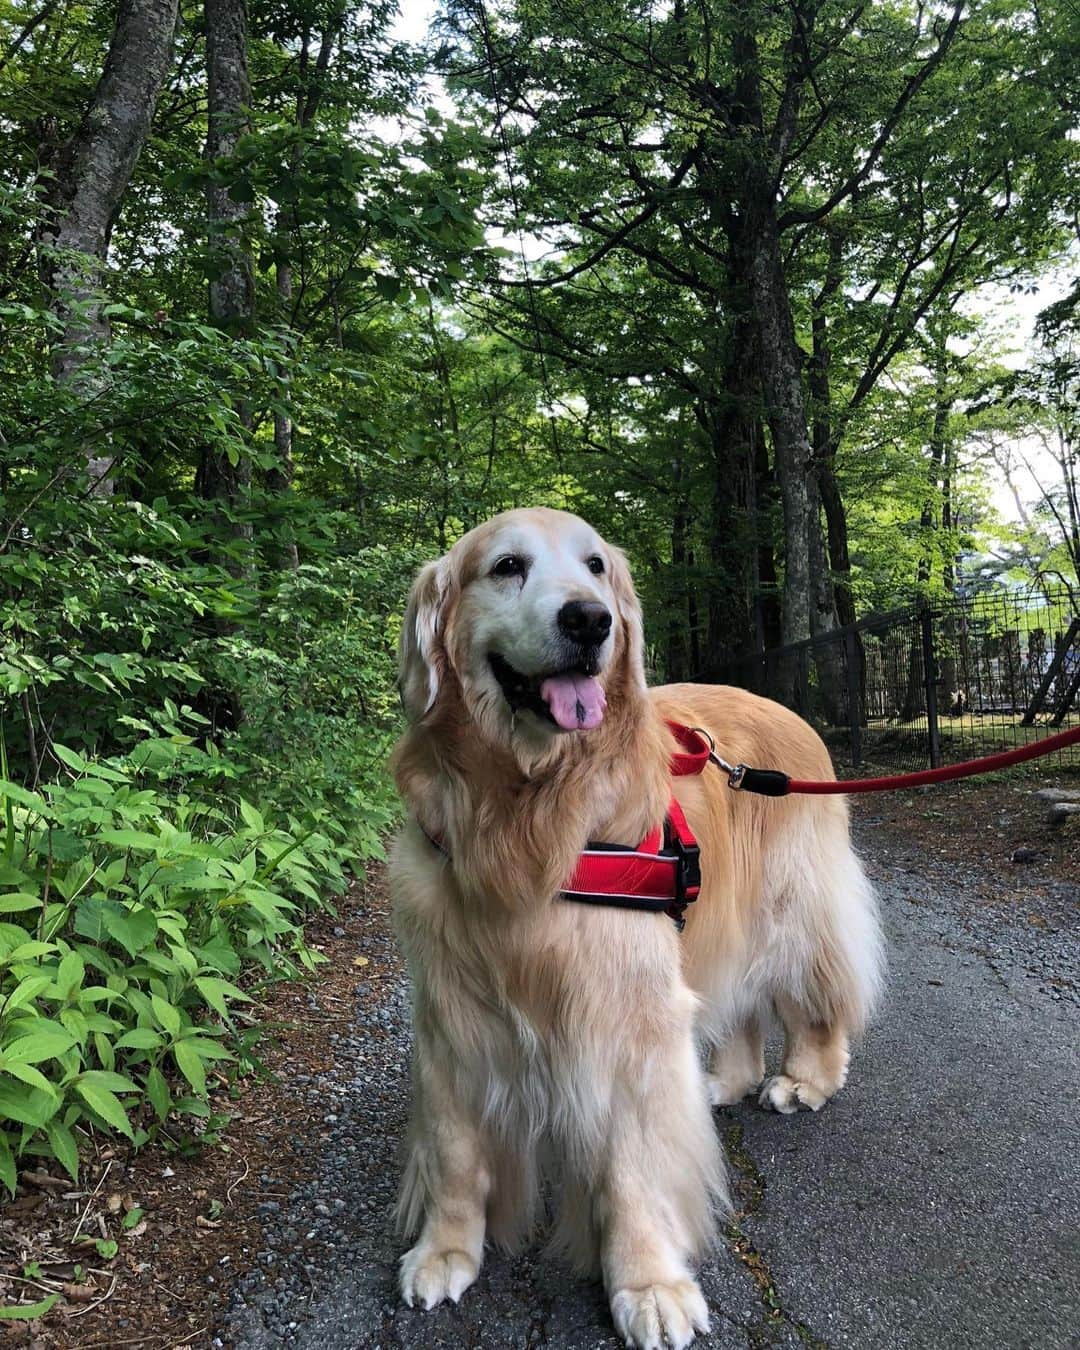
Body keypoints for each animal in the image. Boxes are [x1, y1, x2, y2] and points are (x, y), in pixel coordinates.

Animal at [388, 507, 874, 1350]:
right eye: (507, 566)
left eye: (596, 567)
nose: (590, 620)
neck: (528, 814)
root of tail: (794, 716)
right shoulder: (452, 1008)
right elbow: (453, 1147)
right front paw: (446, 1249)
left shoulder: (625, 1013)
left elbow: (634, 1166)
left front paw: (646, 1283)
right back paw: (726, 1081)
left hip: (787, 911)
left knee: (814, 999)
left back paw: (804, 1080)